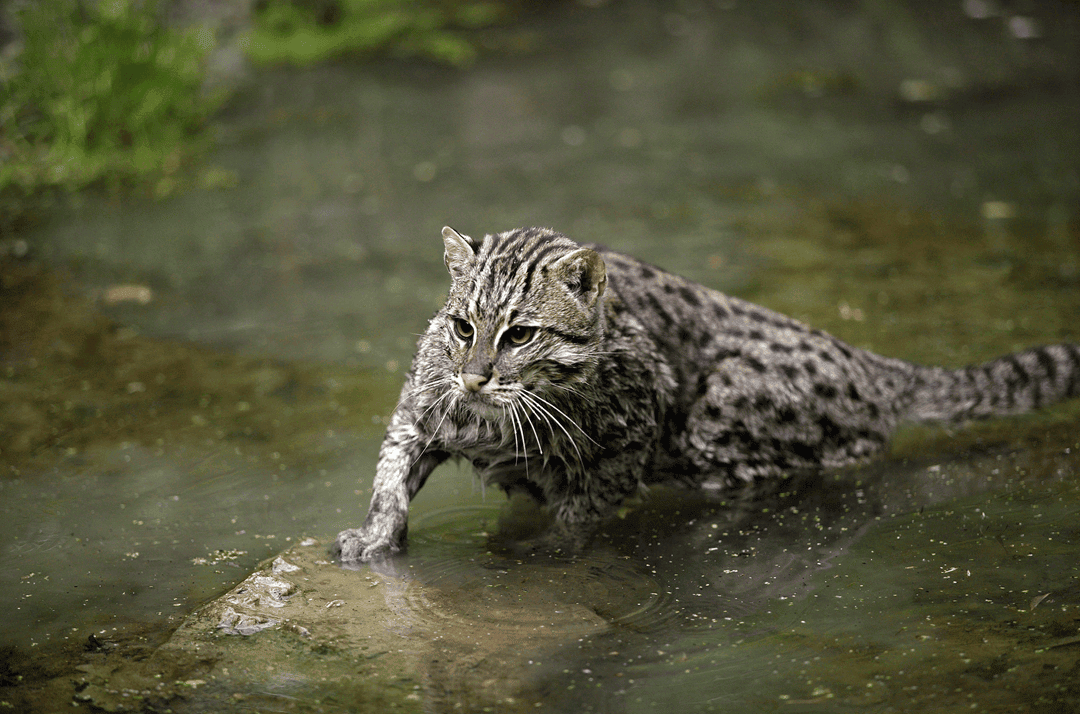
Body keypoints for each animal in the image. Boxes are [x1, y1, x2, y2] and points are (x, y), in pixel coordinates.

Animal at [332, 226, 1075, 561]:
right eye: (462, 327)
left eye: (520, 334)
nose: (474, 376)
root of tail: (869, 363)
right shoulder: (418, 412)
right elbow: (390, 477)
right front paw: (373, 537)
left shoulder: (632, 439)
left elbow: (580, 511)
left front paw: (551, 550)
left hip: (720, 425)